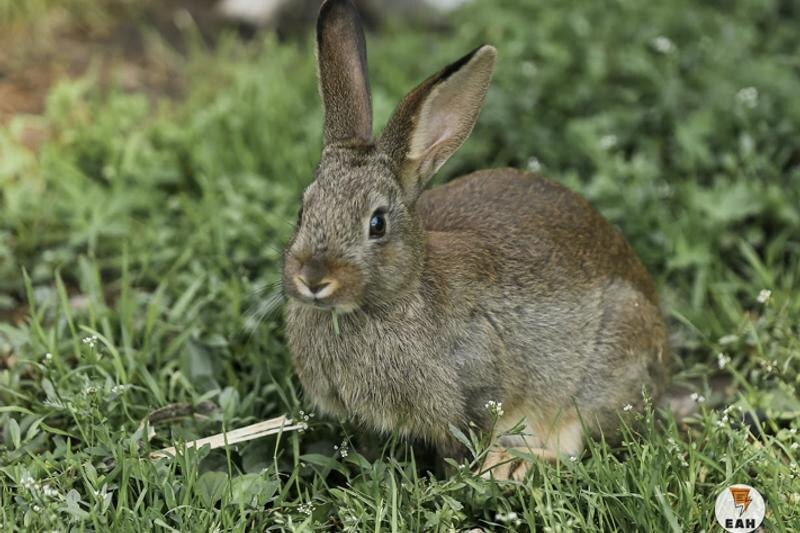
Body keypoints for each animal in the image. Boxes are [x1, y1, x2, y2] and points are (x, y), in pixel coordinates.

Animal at [282, 0, 669, 480]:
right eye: (303, 210)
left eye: (377, 224)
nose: (314, 279)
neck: (399, 295)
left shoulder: (479, 386)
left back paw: (512, 467)